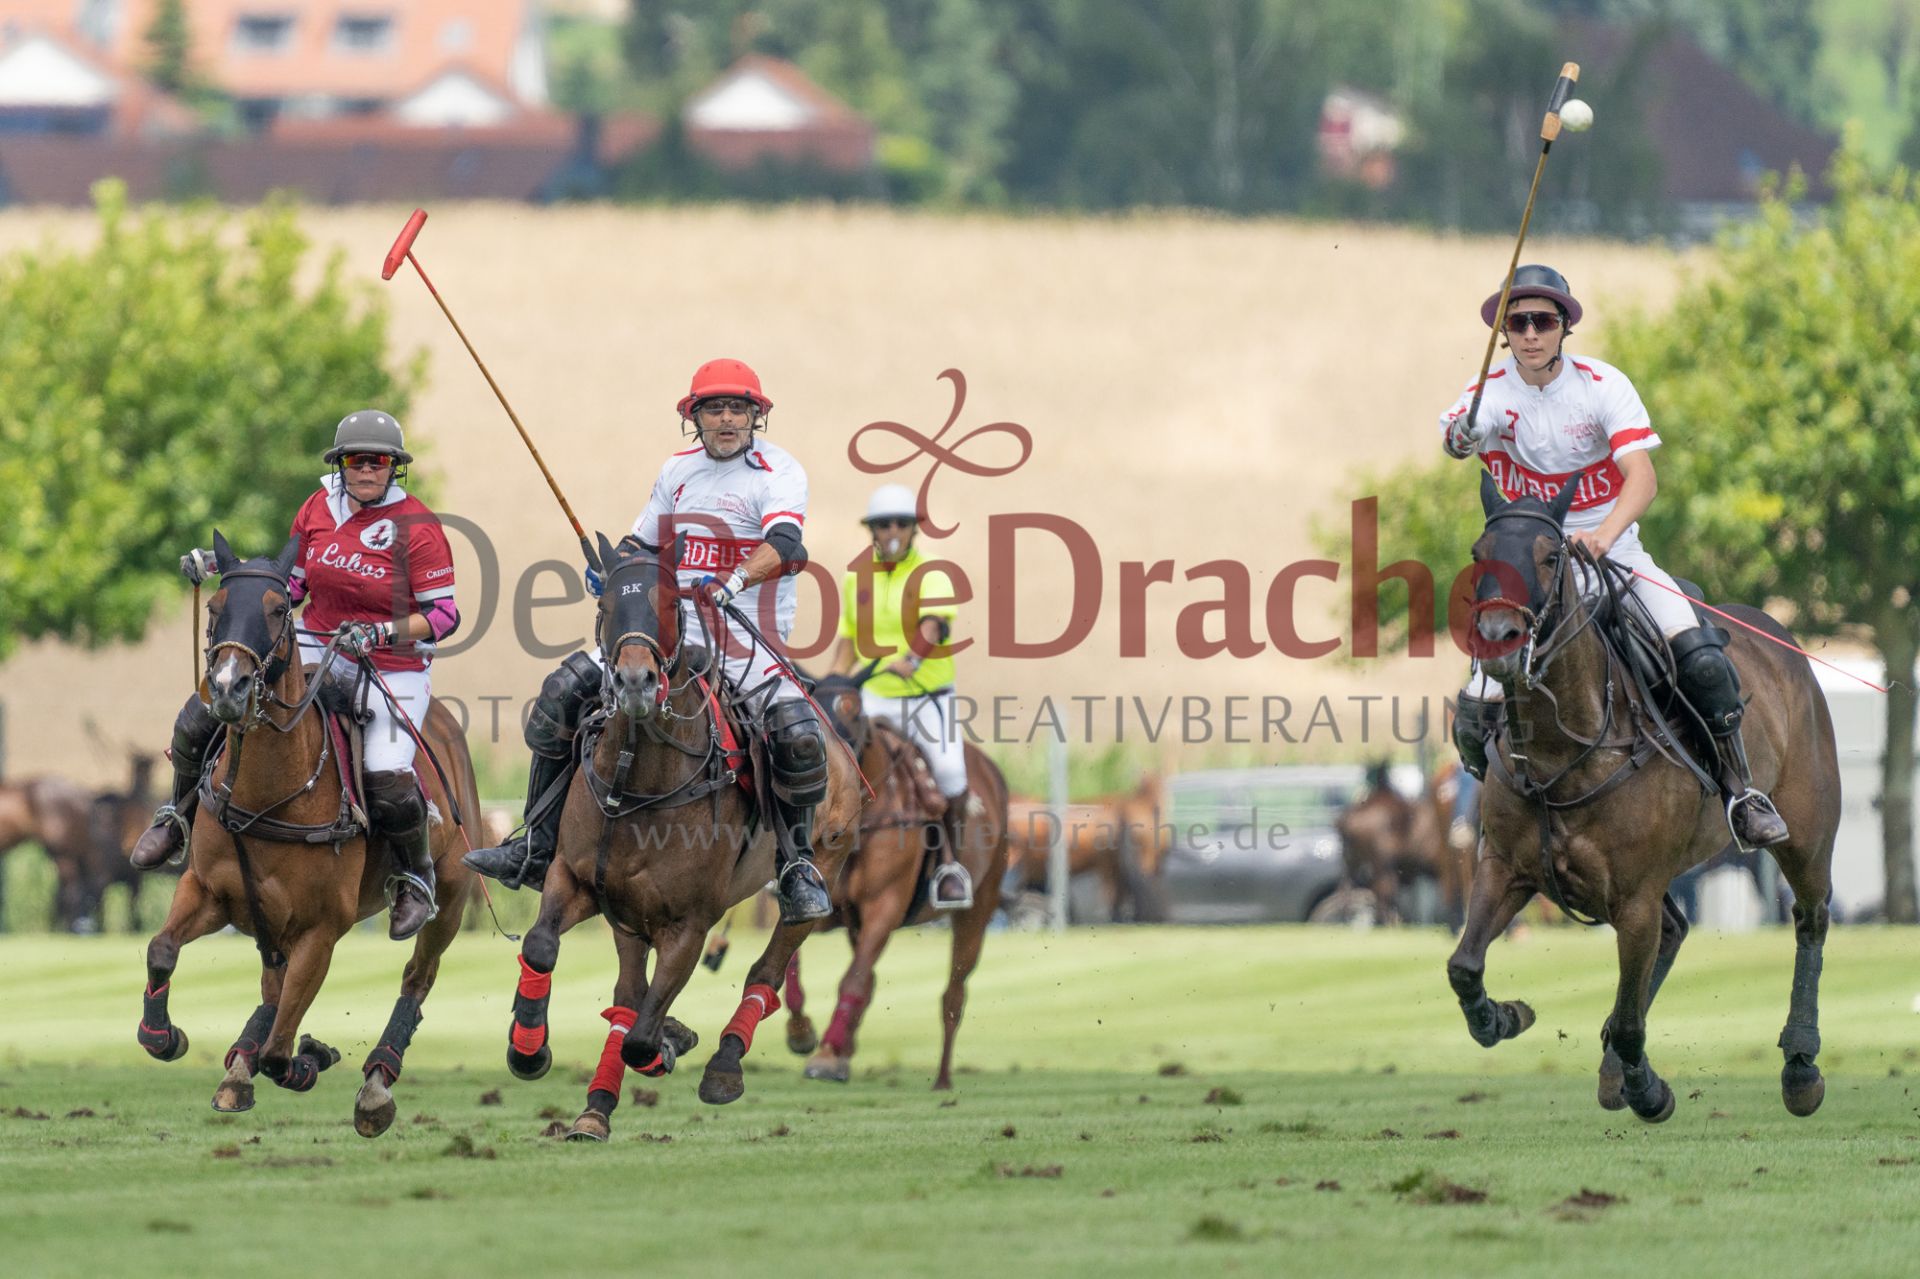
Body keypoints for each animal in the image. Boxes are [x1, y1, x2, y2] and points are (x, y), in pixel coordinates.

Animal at [136, 534, 479, 1136]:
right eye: (216, 608)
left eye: (277, 610)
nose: (228, 689)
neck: (264, 793)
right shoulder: (209, 891)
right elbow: (161, 948)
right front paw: (164, 1036)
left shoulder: (322, 929)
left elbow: (281, 1052)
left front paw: (311, 1056)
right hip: (267, 923)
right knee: (272, 990)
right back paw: (237, 1070)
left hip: (453, 898)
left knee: (417, 977)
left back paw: (375, 1086)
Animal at [500, 535, 861, 1142]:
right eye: (605, 606)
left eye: (672, 607)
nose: (634, 683)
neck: (637, 778)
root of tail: (841, 747)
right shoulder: (578, 880)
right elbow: (542, 946)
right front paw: (529, 1052)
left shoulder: (690, 922)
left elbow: (643, 1035)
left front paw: (669, 1042)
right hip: (626, 911)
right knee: (627, 994)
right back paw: (595, 1109)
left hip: (821, 867)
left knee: (766, 969)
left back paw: (722, 1067)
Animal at [782, 670, 1010, 1088]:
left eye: (854, 714)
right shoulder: (823, 905)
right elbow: (794, 966)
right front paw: (802, 1033)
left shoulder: (883, 909)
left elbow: (853, 980)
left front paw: (825, 1055)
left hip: (978, 911)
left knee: (953, 995)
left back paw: (942, 1079)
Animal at [1446, 476, 1840, 1123]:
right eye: (1479, 555)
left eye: (1550, 557)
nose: (1499, 641)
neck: (1561, 753)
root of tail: (1777, 634)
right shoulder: (1505, 868)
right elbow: (1464, 966)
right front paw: (1504, 1017)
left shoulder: (1633, 899)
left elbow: (1632, 1020)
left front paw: (1649, 1091)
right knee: (1675, 931)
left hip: (1806, 833)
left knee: (1810, 918)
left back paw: (1800, 1065)